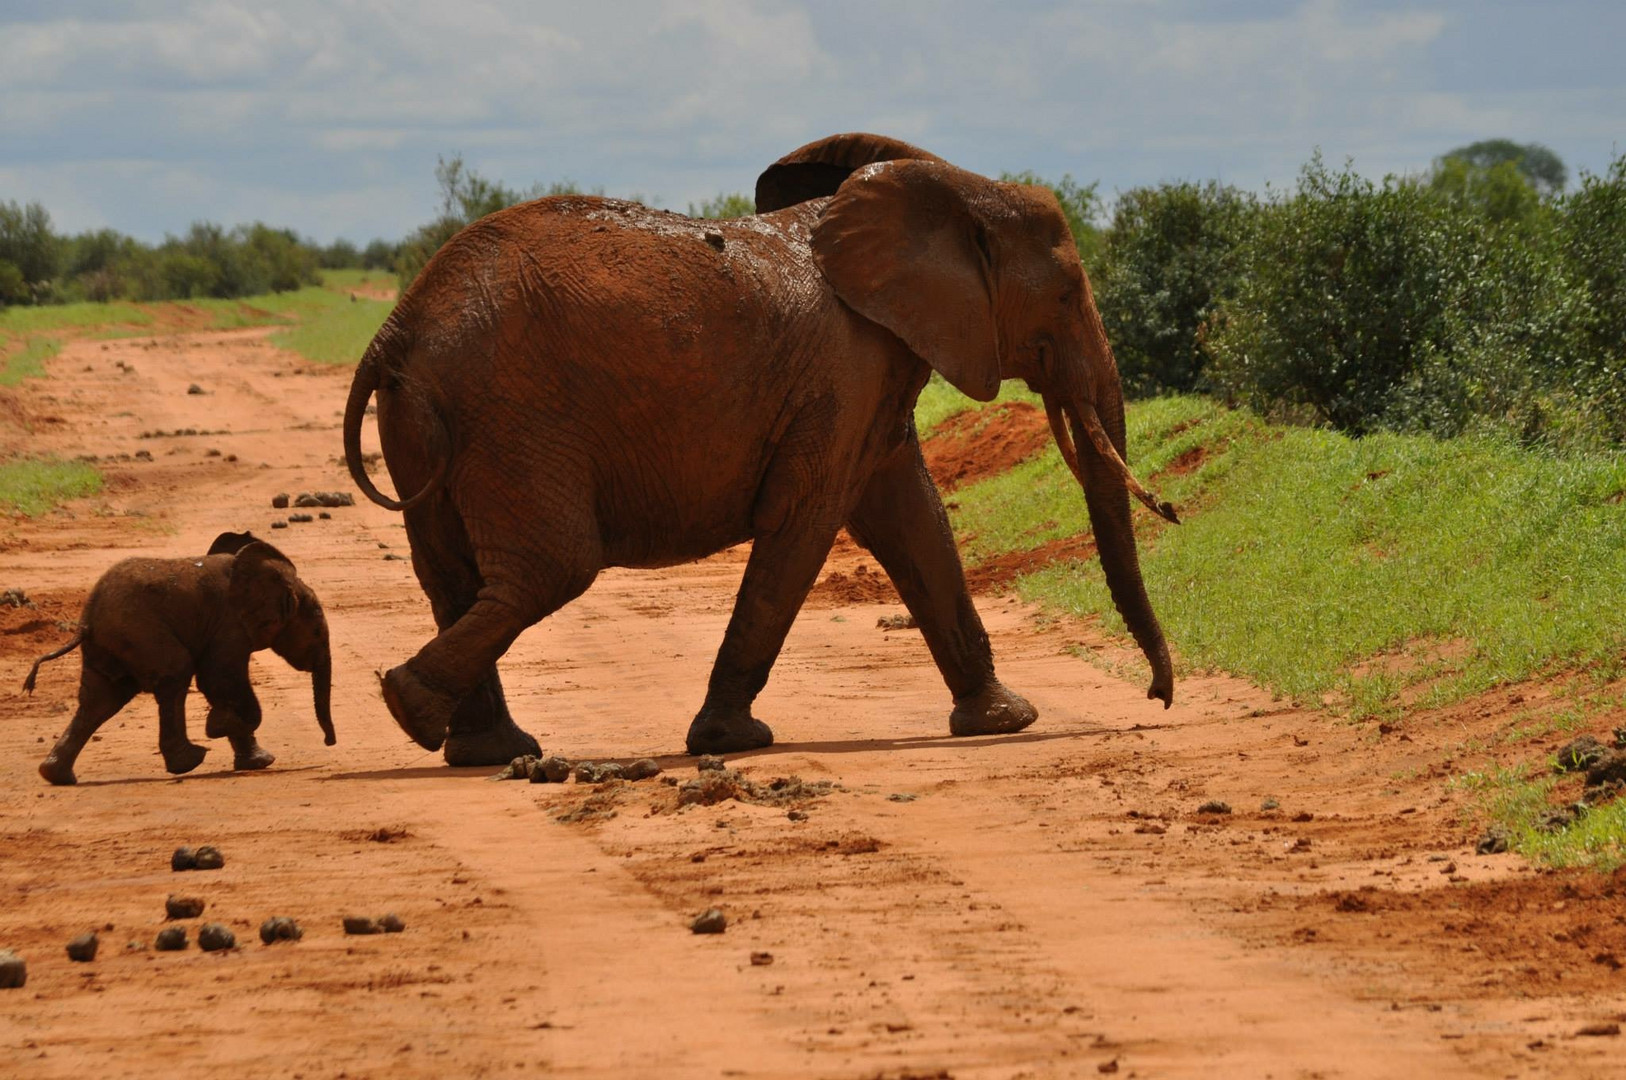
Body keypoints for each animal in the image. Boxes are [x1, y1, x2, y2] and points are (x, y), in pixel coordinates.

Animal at [22, 530, 334, 783]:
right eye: (317, 630)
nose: (329, 742)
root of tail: (87, 621)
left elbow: (220, 683)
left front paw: (257, 760)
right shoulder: (229, 624)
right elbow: (220, 679)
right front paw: (218, 726)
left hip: (114, 642)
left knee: (101, 700)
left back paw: (56, 776)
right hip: (140, 631)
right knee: (173, 674)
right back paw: (190, 761)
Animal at [349, 130, 1177, 764]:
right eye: (1067, 294)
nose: (1159, 698)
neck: (954, 186)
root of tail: (398, 327)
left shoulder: (875, 367)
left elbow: (914, 522)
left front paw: (1006, 719)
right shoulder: (847, 366)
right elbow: (806, 525)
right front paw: (732, 740)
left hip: (433, 420)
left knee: (450, 570)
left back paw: (479, 746)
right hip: (514, 414)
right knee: (553, 567)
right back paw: (411, 708)